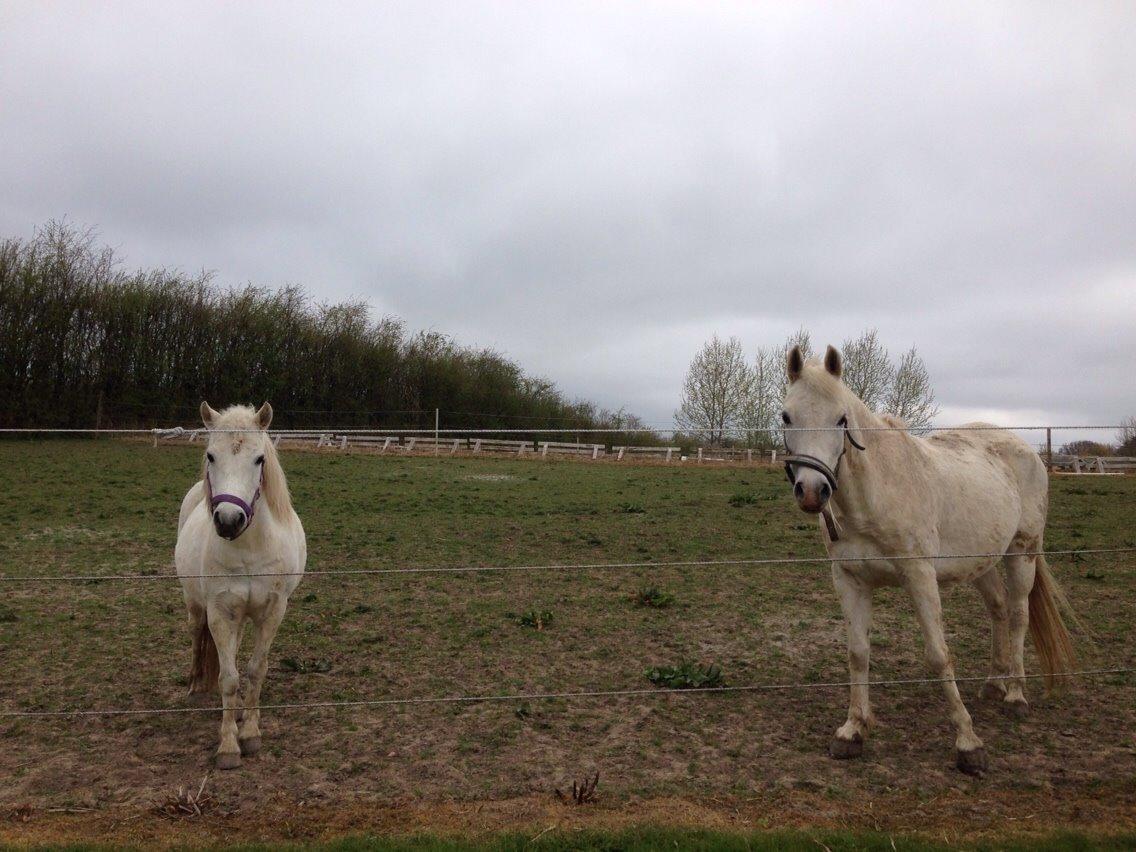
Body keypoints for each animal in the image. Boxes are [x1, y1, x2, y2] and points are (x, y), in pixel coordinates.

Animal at [174, 404, 306, 772]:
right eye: (210, 455)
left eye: (259, 459)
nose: (229, 520)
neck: (249, 549)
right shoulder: (220, 612)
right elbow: (229, 678)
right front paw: (229, 745)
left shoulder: (273, 611)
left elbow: (254, 671)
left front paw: (249, 731)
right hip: (196, 604)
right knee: (197, 635)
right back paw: (195, 685)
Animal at [781, 345, 1072, 772]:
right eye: (787, 416)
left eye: (841, 419)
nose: (813, 492)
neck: (876, 494)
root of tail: (1024, 451)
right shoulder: (849, 579)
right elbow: (857, 653)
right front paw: (852, 732)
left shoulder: (919, 576)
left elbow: (938, 655)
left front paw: (968, 744)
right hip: (980, 561)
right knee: (999, 610)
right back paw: (993, 683)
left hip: (1022, 552)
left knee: (1019, 614)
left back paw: (1016, 695)